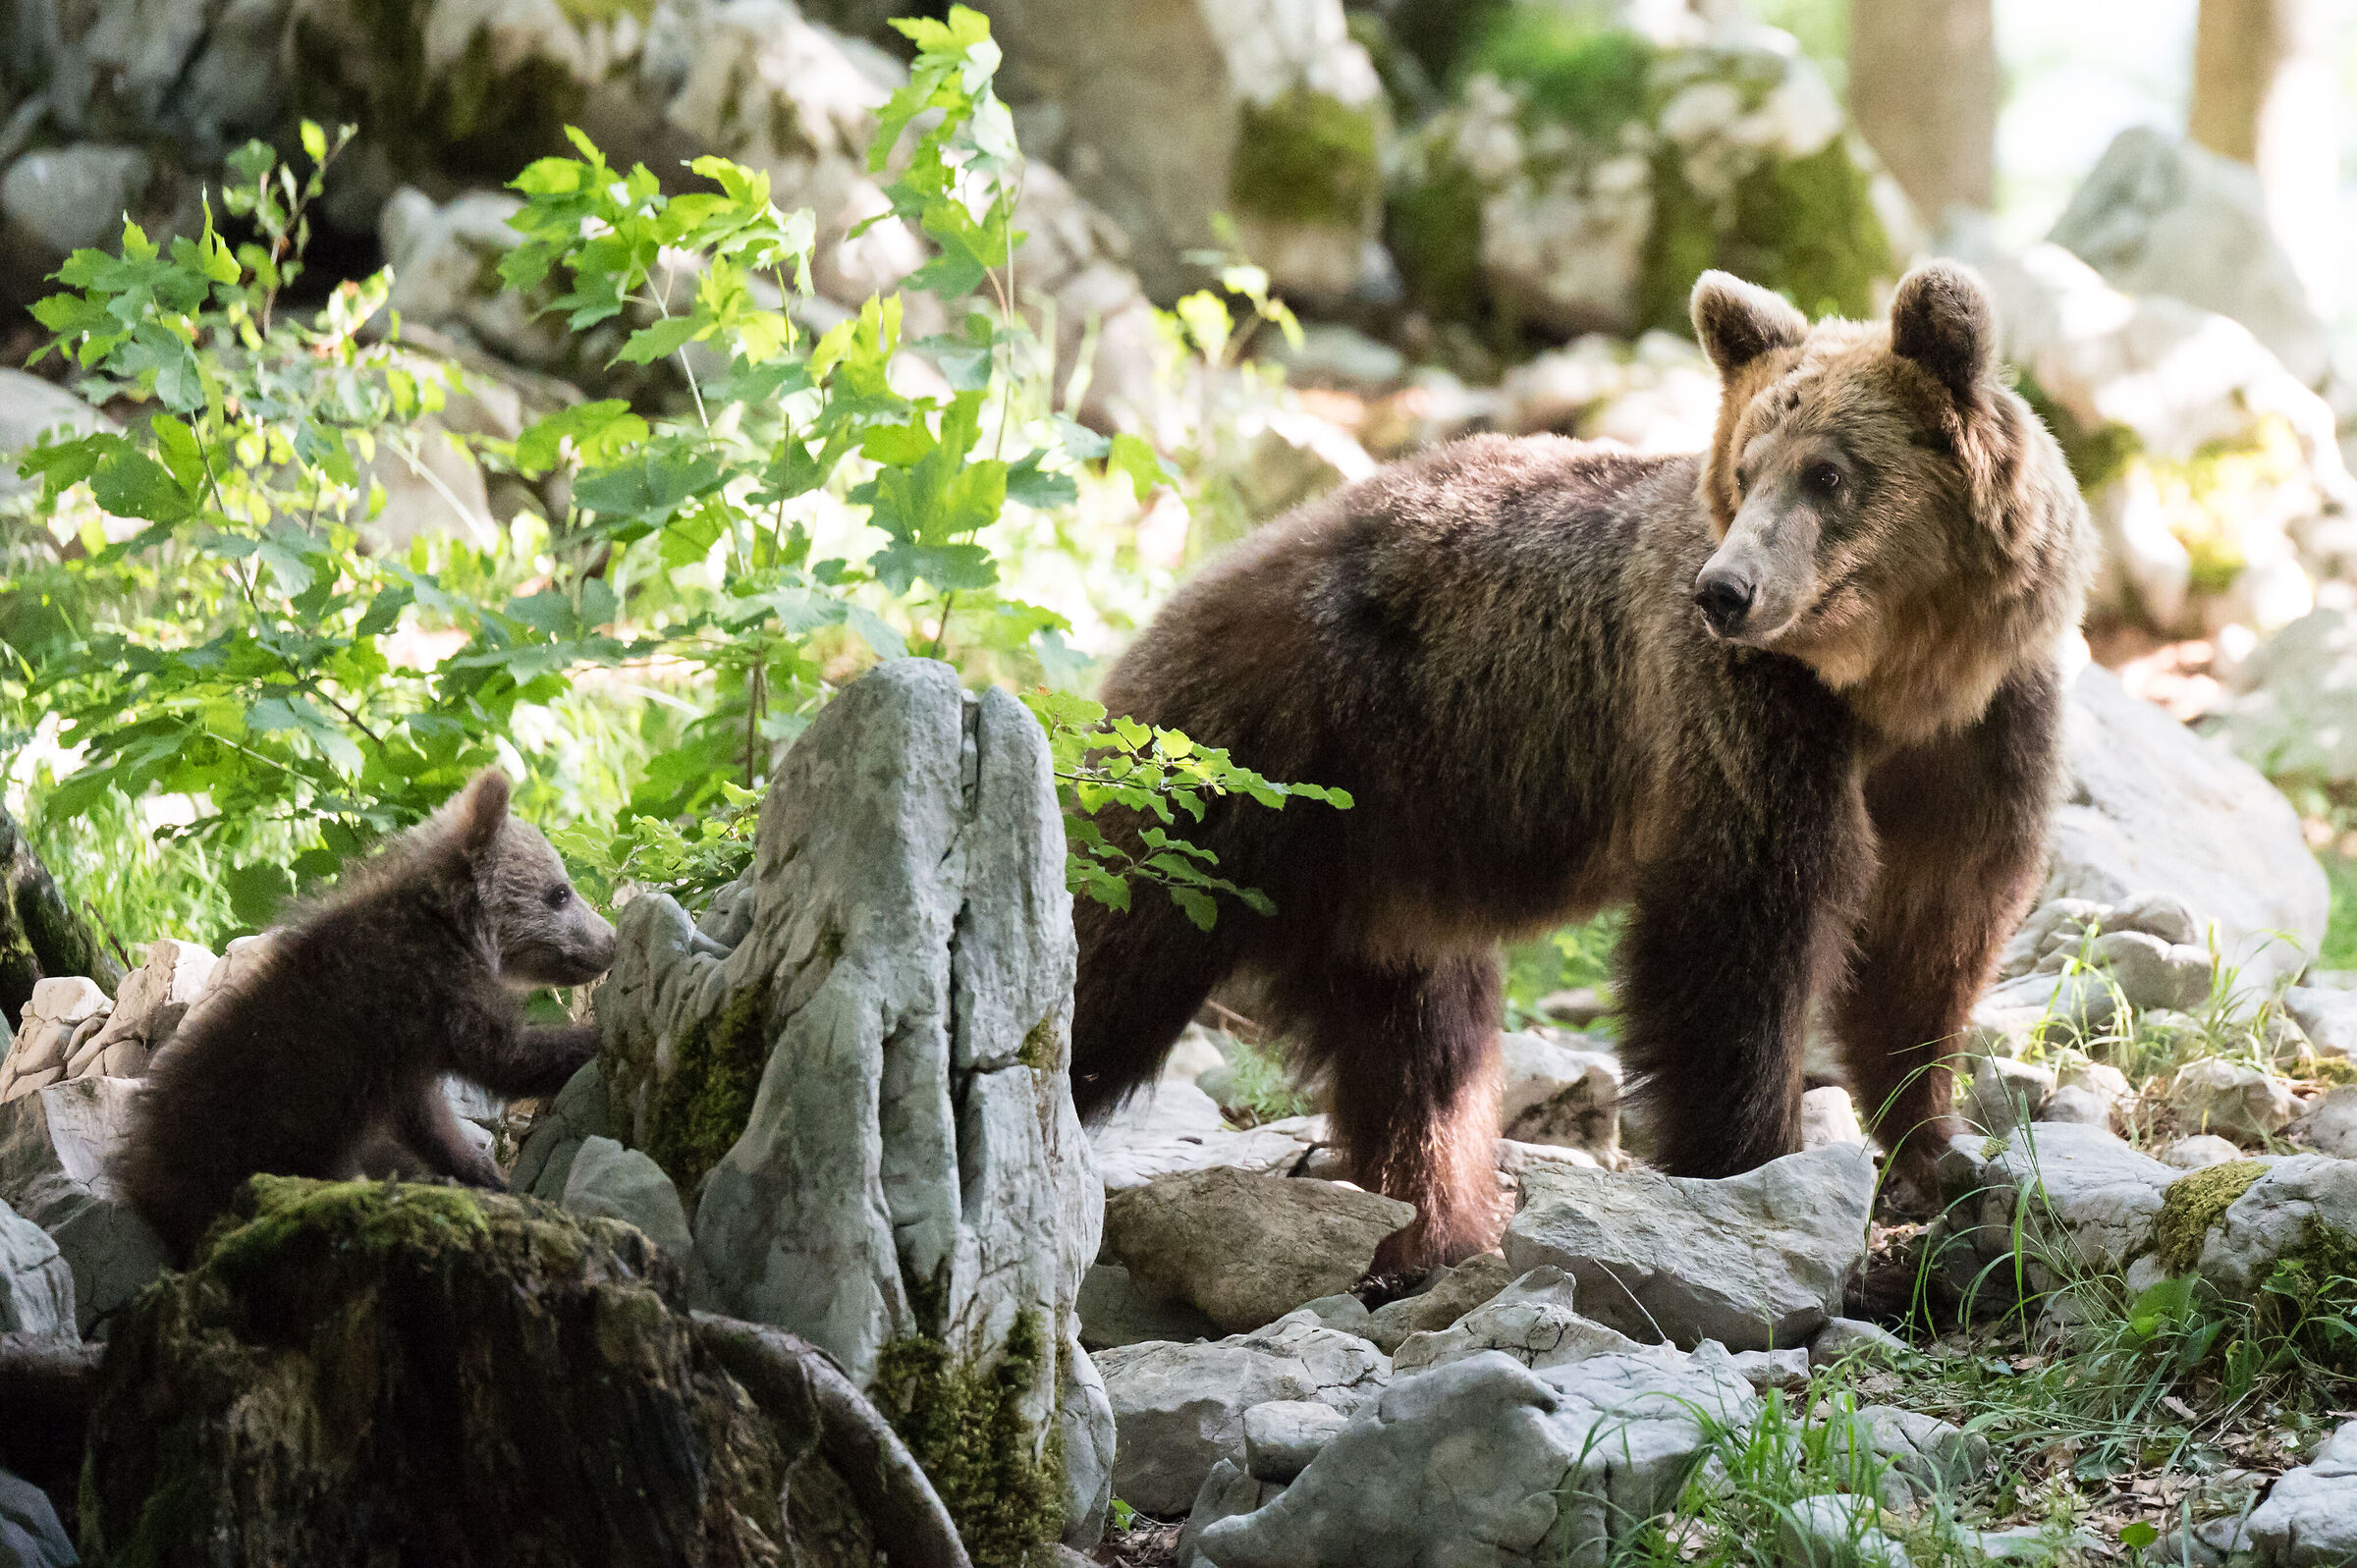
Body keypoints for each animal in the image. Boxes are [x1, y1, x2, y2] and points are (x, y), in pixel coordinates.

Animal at [116, 768, 618, 1261]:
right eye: (559, 892)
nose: (610, 940)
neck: (454, 928)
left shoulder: (403, 1052)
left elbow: (426, 1119)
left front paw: (477, 1171)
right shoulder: (430, 999)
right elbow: (506, 1057)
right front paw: (592, 1039)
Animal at [1070, 262, 2095, 1272]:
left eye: (1829, 472)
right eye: (1746, 468)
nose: (1725, 590)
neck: (1892, 685)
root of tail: (1179, 600)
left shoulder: (1982, 736)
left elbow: (1931, 932)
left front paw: (1933, 1140)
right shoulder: (1748, 715)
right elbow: (1741, 933)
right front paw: (1754, 1162)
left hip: (1382, 862)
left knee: (1419, 1048)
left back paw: (1439, 1232)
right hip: (1224, 778)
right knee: (1113, 949)